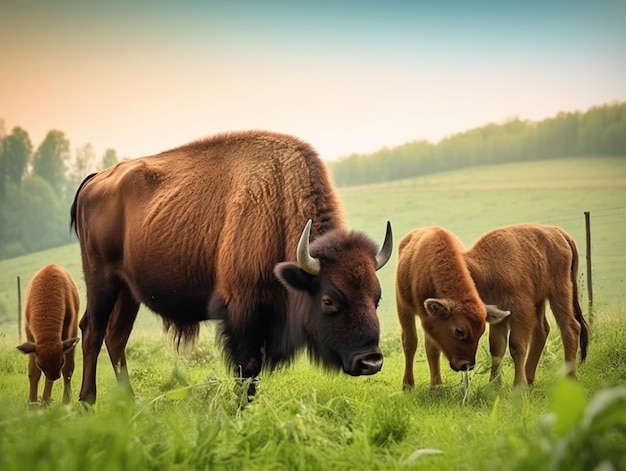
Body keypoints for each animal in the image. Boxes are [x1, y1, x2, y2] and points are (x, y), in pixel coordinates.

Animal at [16, 266, 80, 406]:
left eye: (61, 362)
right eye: (40, 364)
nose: (55, 376)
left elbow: (63, 371)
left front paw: (44, 402)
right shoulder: (30, 336)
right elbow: (33, 372)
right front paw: (31, 404)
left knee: (68, 371)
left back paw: (66, 402)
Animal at [69, 130, 390, 406]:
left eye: (376, 298)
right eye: (328, 301)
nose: (370, 361)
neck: (279, 199)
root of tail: (96, 179)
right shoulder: (242, 310)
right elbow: (247, 368)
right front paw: (240, 412)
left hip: (127, 290)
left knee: (116, 336)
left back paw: (130, 401)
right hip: (102, 280)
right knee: (93, 331)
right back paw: (87, 401)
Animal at [398, 227, 510, 390]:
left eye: (481, 331)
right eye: (459, 331)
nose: (467, 365)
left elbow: (432, 349)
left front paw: (436, 385)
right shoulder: (418, 313)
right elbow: (422, 346)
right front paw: (430, 386)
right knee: (409, 342)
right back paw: (409, 384)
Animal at [464, 225, 588, 388]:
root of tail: (560, 233)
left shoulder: (521, 309)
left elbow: (516, 345)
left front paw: (518, 385)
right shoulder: (499, 314)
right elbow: (497, 348)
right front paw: (494, 386)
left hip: (560, 291)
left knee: (570, 327)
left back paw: (570, 379)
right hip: (540, 298)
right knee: (542, 331)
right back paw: (529, 379)